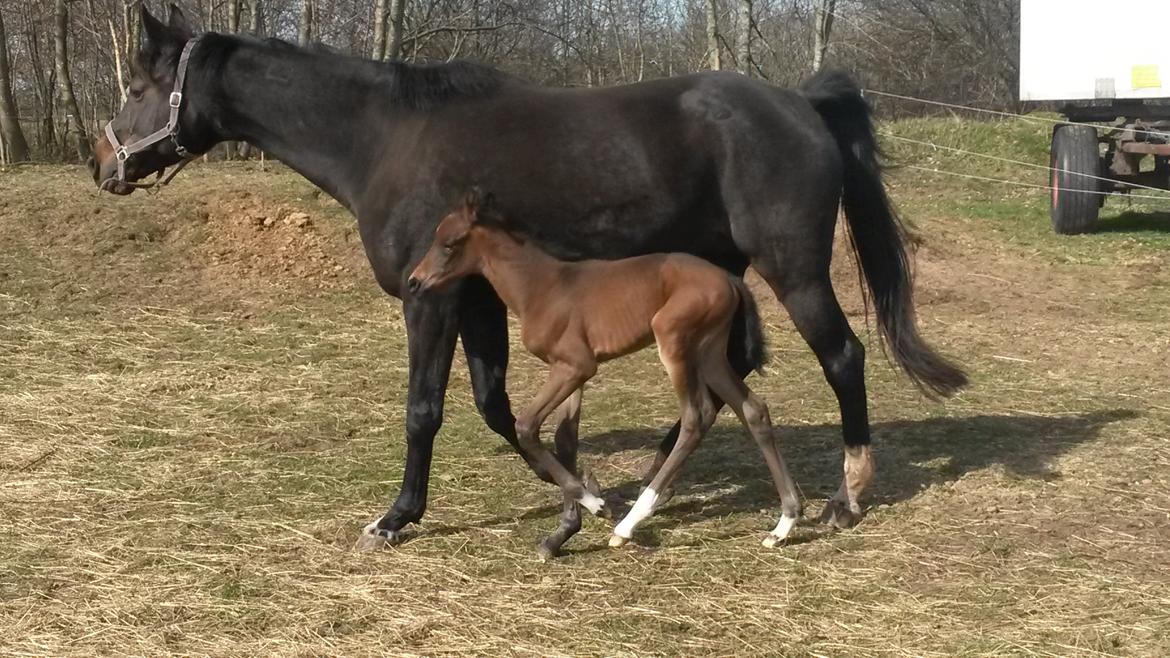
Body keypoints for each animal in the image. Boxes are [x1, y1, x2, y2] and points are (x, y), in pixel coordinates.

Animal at [407, 189, 800, 552]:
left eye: (449, 243)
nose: (414, 281)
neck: (540, 286)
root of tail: (731, 279)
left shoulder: (578, 365)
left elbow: (527, 426)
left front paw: (596, 504)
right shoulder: (569, 371)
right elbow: (565, 438)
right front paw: (566, 527)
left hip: (674, 342)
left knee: (696, 417)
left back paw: (629, 525)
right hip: (710, 353)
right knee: (753, 409)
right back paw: (784, 523)